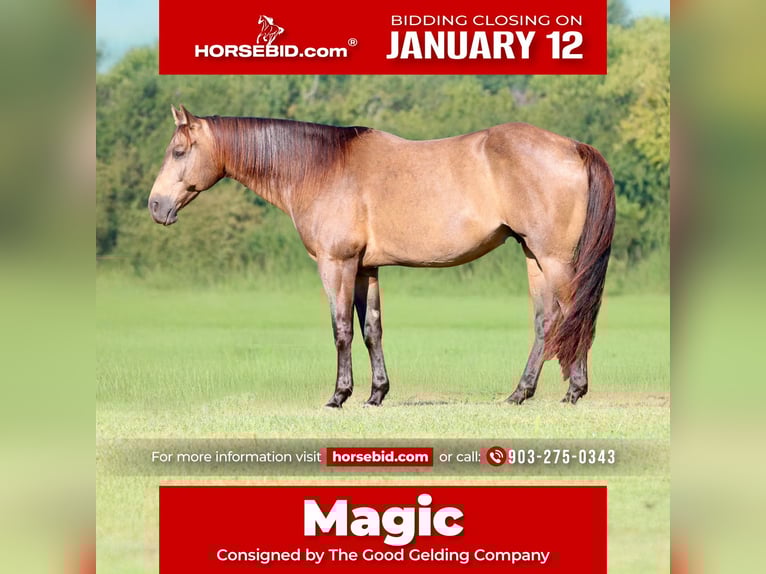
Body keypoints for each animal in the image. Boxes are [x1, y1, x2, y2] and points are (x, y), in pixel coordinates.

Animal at [148, 105, 615, 408]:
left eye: (178, 152)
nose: (155, 206)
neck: (322, 168)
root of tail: (573, 146)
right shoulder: (365, 269)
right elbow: (371, 329)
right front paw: (376, 393)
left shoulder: (336, 264)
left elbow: (341, 329)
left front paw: (339, 395)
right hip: (533, 257)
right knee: (546, 322)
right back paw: (525, 392)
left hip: (554, 258)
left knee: (571, 316)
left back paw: (568, 391)